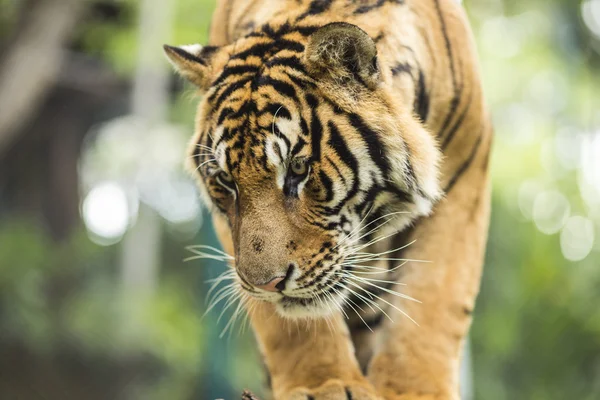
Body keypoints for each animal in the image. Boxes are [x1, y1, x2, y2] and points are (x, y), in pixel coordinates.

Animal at [165, 0, 492, 400]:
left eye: (298, 168)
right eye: (226, 180)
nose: (266, 285)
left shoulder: (465, 168)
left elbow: (433, 302)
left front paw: (413, 391)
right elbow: (292, 326)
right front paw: (323, 385)